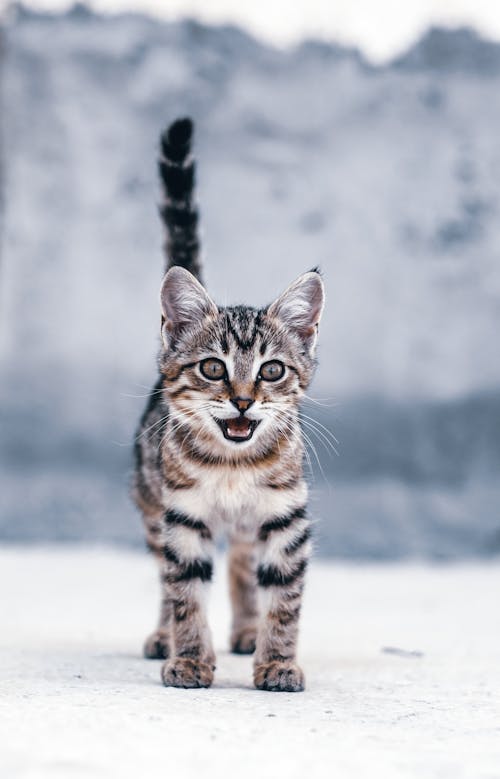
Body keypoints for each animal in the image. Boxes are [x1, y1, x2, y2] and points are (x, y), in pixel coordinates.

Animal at [133, 117, 326, 696]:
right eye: (214, 369)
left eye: (272, 371)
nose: (243, 400)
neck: (234, 465)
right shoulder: (182, 515)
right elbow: (184, 591)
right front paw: (191, 658)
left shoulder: (286, 518)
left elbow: (283, 595)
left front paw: (277, 661)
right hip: (151, 504)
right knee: (165, 575)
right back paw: (164, 637)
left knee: (243, 560)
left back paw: (246, 630)